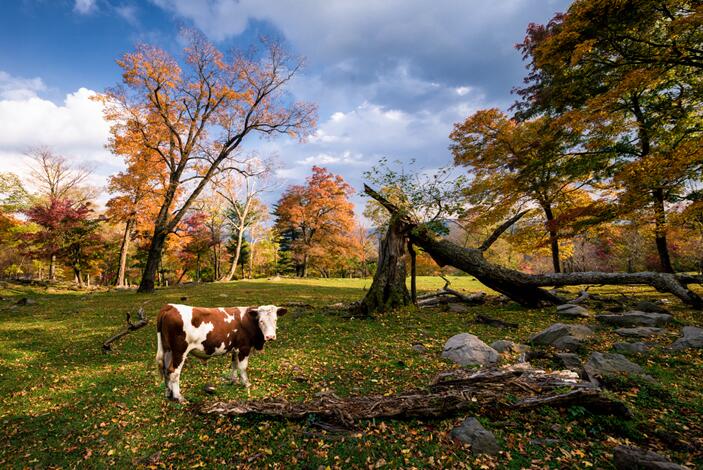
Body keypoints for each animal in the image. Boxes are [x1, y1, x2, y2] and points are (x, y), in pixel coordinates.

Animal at [155, 304, 286, 400]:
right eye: (261, 321)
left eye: (275, 320)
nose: (270, 337)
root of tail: (170, 306)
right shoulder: (244, 348)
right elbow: (243, 367)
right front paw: (246, 384)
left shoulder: (235, 349)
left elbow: (234, 365)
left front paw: (234, 380)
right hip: (179, 351)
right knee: (174, 372)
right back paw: (178, 396)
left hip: (168, 350)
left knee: (165, 370)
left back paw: (168, 393)